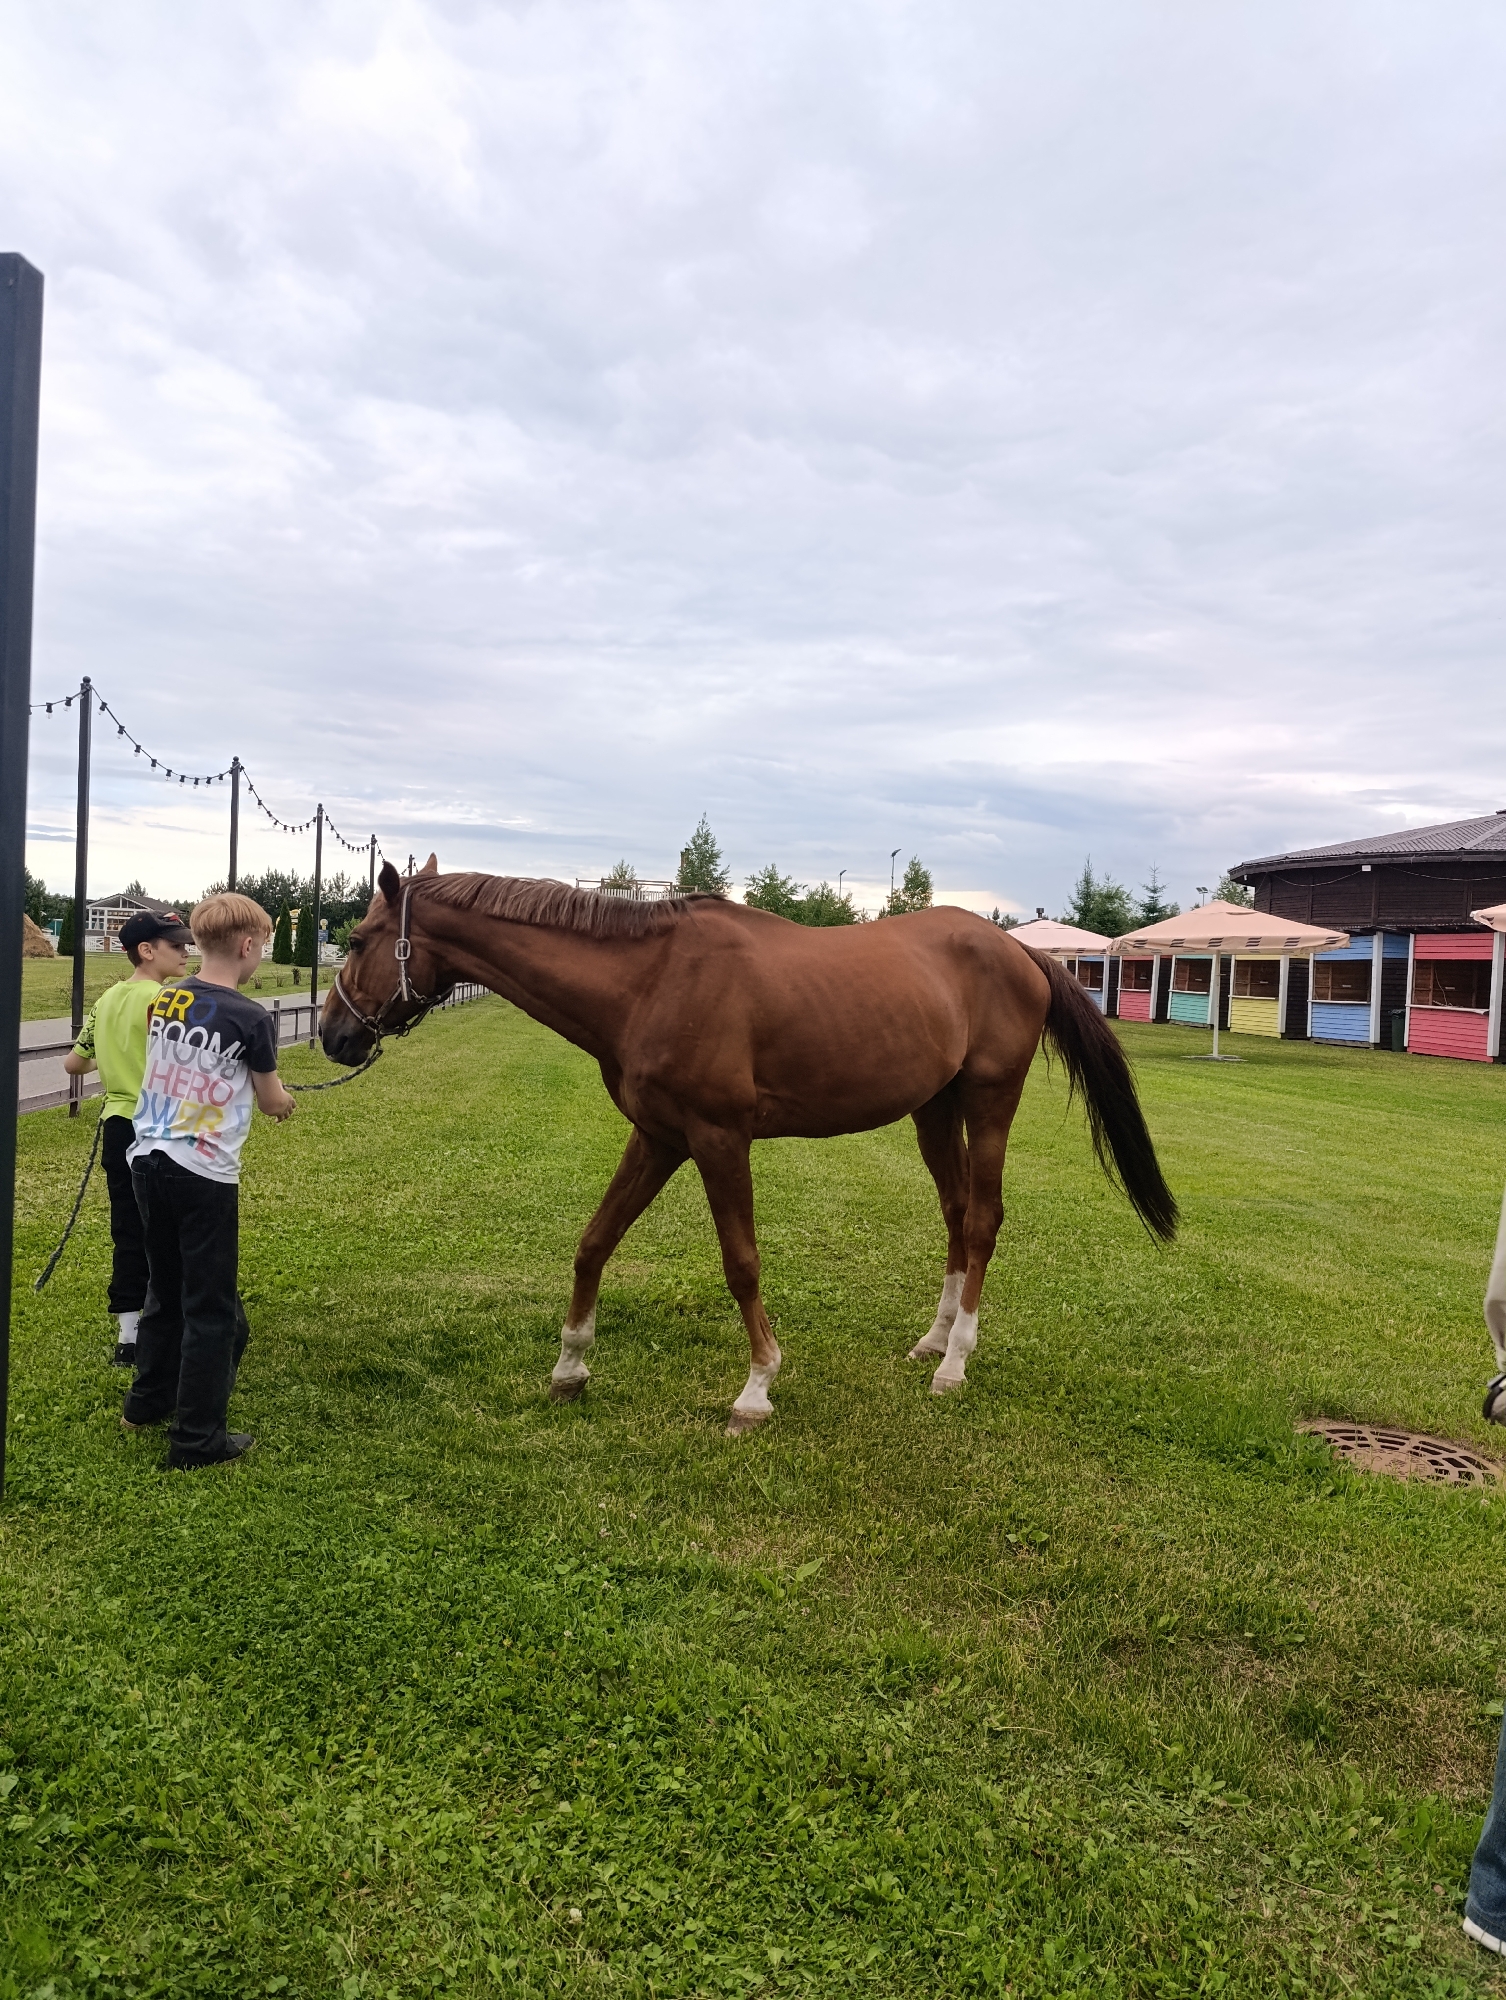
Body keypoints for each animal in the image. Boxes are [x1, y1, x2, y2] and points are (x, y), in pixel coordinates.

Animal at [321, 858, 1177, 1433]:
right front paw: (570, 1365)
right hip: (934, 1113)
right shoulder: (659, 1137)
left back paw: (956, 1363)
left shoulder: (718, 1139)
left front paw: (757, 1388)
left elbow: (741, 1262)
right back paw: (932, 1342)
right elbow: (594, 1243)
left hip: (989, 1103)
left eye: (359, 938)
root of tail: (1022, 953)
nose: (331, 1035)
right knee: (957, 1216)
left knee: (984, 1221)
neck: (651, 980)